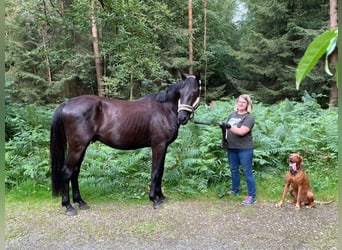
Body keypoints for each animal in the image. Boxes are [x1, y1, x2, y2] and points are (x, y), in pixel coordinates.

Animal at [50, 72, 200, 215]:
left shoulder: (164, 147)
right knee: (67, 172)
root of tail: (66, 104)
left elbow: (161, 171)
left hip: (82, 147)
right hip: (77, 147)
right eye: (181, 92)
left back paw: (80, 202)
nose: (182, 118)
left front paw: (161, 197)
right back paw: (68, 206)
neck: (164, 109)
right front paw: (154, 199)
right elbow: (155, 171)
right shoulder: (159, 146)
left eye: (194, 92)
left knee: (75, 172)